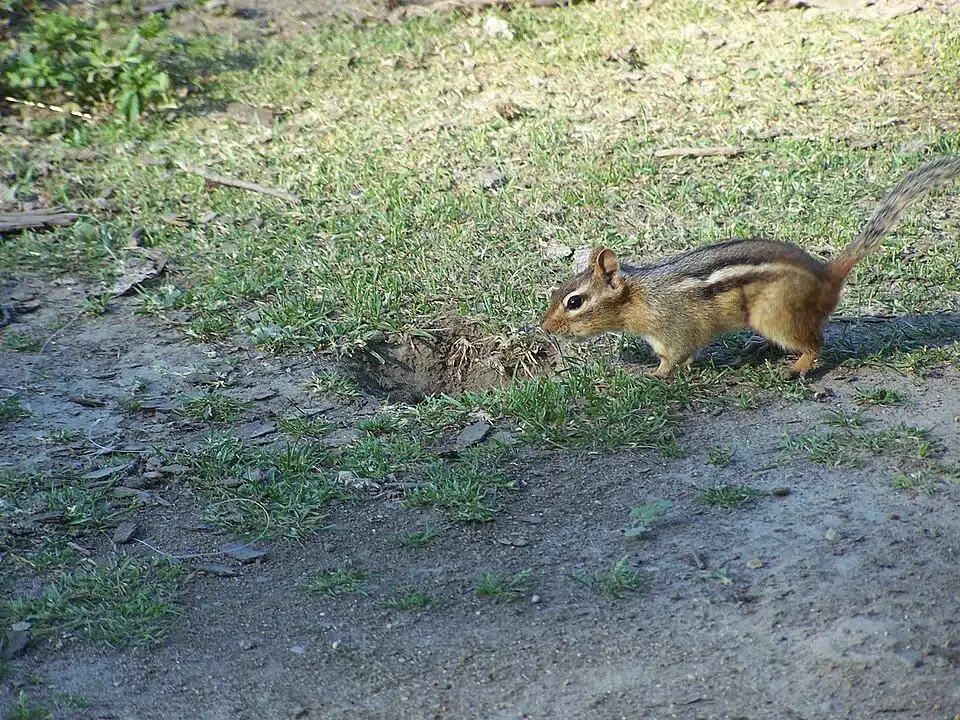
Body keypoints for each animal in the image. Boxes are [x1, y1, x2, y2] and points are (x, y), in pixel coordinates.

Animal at [541, 156, 960, 379]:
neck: (641, 295)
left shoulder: (672, 330)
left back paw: (796, 367)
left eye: (574, 302)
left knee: (816, 343)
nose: (545, 328)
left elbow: (673, 356)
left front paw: (654, 375)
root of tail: (828, 273)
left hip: (775, 315)